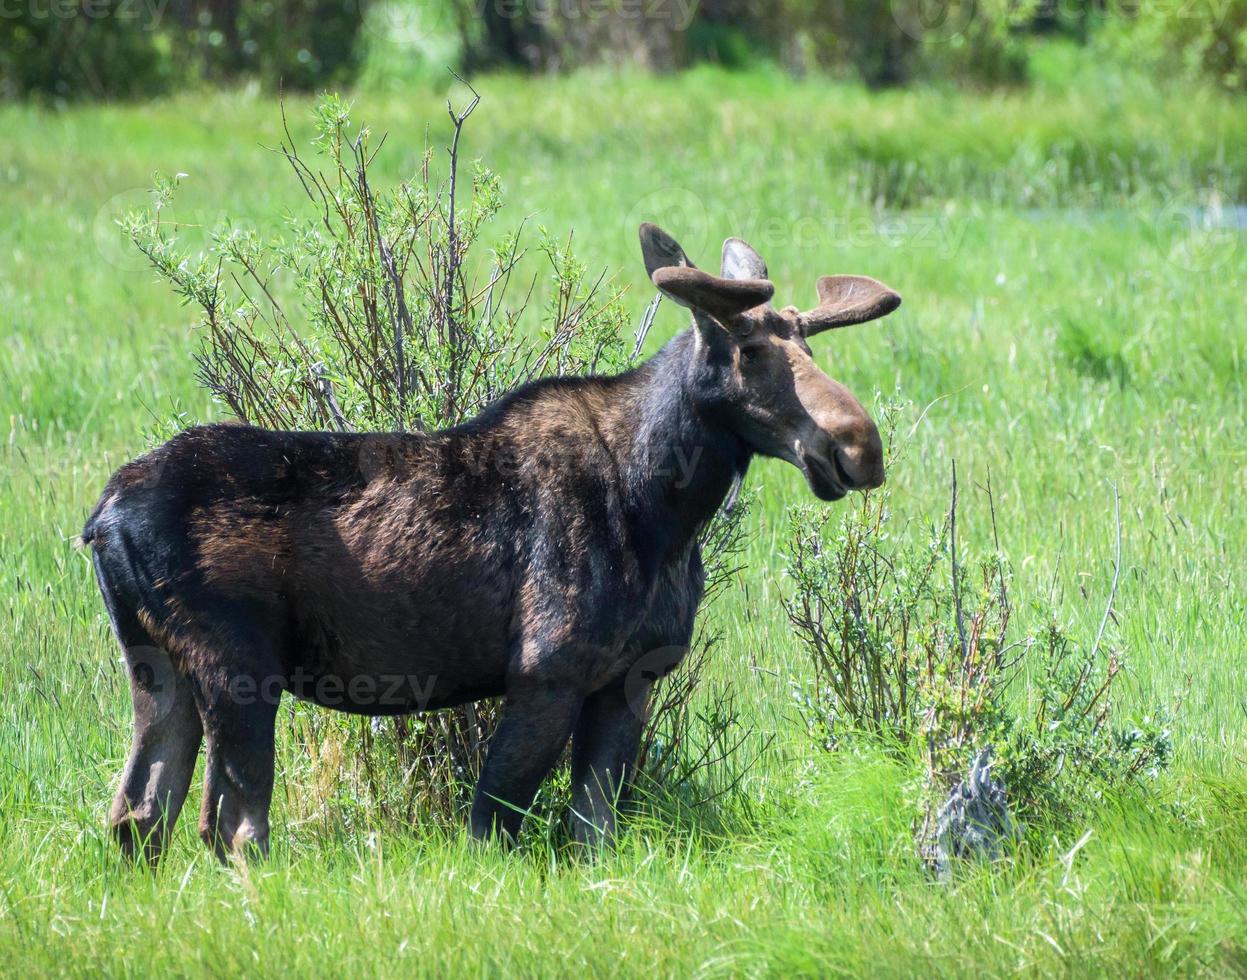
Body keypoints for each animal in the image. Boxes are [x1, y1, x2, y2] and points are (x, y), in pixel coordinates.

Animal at [82, 221, 897, 857]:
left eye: (812, 352)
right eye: (751, 354)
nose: (858, 446)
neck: (666, 508)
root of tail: (100, 517)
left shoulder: (630, 676)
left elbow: (591, 834)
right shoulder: (548, 669)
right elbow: (494, 826)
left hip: (156, 664)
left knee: (137, 815)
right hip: (239, 668)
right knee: (231, 827)